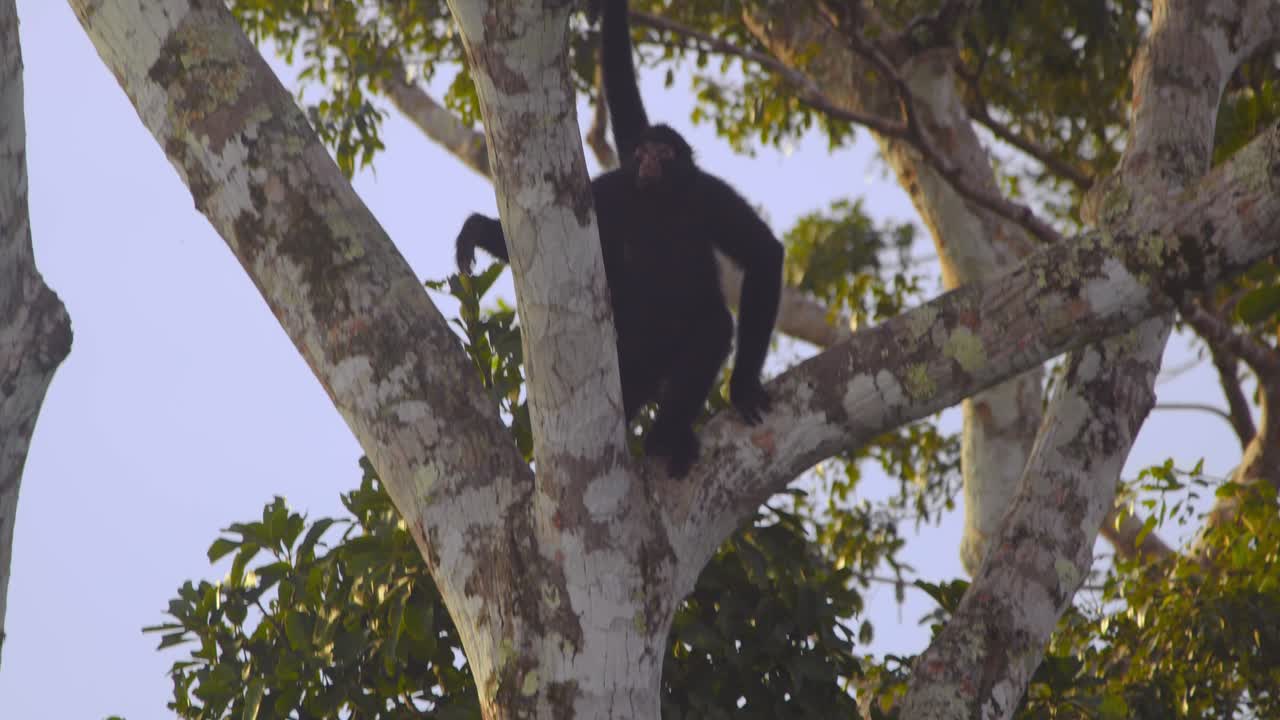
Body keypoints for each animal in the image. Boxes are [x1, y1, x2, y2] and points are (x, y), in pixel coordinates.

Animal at [455, 0, 782, 476]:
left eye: (663, 153)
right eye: (642, 152)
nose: (646, 162)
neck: (658, 205)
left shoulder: (705, 194)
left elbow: (764, 254)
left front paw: (741, 388)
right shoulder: (615, 190)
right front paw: (480, 230)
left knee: (710, 327)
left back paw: (668, 434)